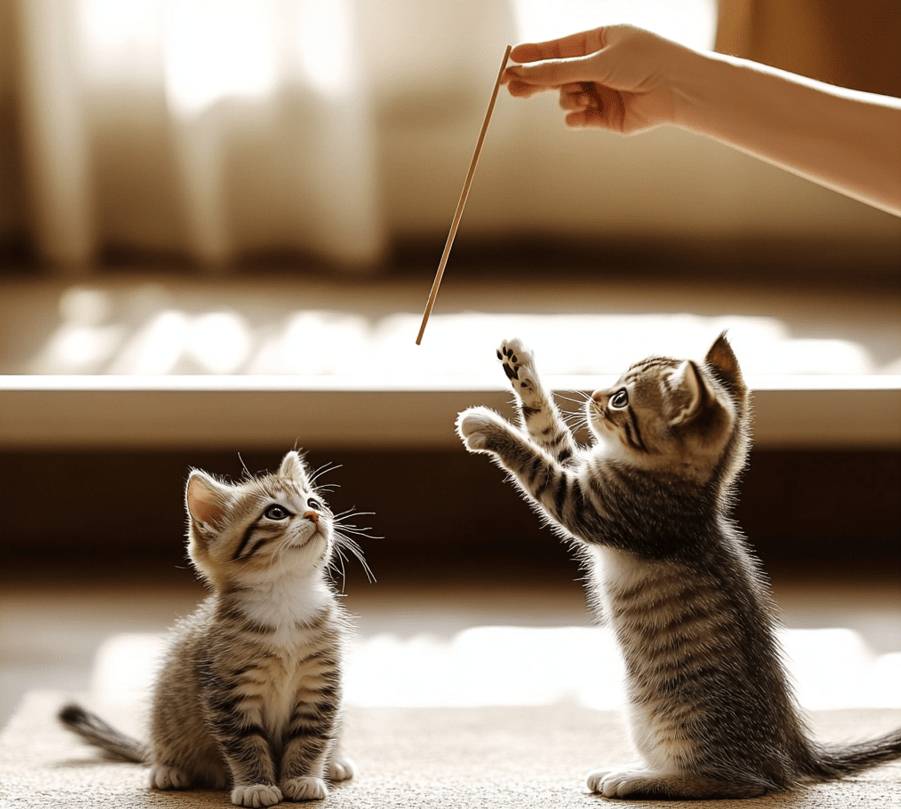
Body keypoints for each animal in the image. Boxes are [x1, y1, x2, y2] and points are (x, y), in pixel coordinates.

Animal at [59, 452, 370, 804]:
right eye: (275, 512)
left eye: (314, 501)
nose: (314, 514)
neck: (285, 598)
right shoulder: (228, 693)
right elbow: (246, 743)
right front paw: (256, 786)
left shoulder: (320, 686)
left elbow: (312, 736)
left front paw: (303, 778)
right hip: (166, 707)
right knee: (162, 745)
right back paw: (169, 769)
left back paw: (337, 761)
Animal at [458, 336, 900, 800]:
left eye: (620, 399)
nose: (595, 394)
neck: (693, 491)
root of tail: (789, 745)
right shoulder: (584, 471)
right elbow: (549, 433)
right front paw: (520, 367)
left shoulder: (592, 506)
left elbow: (537, 462)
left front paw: (487, 427)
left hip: (687, 719)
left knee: (748, 781)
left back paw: (636, 779)